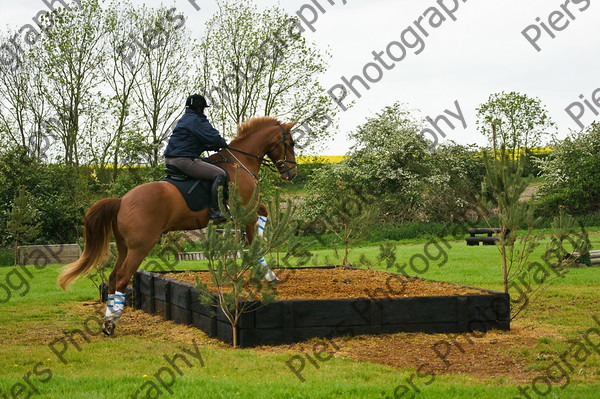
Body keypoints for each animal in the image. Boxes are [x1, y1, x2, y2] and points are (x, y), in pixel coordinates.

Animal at [57, 117, 296, 336]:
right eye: (290, 143)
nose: (292, 174)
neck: (240, 162)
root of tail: (122, 201)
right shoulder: (246, 211)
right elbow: (255, 241)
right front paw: (267, 273)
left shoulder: (250, 210)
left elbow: (264, 214)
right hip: (140, 247)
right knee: (123, 277)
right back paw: (112, 321)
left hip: (125, 247)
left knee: (114, 277)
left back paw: (108, 318)